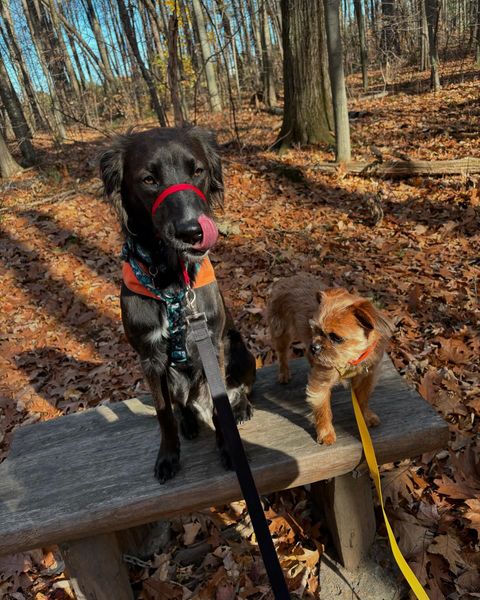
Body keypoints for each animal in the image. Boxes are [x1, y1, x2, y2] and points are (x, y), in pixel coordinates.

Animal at [100, 126, 256, 482]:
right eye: (148, 179)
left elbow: (221, 406)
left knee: (239, 389)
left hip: (240, 349)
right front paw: (169, 456)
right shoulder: (150, 359)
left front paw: (230, 448)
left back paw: (241, 408)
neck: (172, 281)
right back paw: (188, 421)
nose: (192, 231)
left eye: (197, 170)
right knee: (181, 405)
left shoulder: (213, 343)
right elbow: (163, 415)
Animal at [266, 276, 394, 446]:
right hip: (282, 331)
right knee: (282, 354)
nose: (315, 346)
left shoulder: (367, 376)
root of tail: (283, 281)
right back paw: (284, 373)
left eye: (336, 338)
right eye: (315, 329)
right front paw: (326, 433)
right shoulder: (320, 385)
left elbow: (362, 399)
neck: (351, 358)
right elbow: (323, 410)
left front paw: (365, 416)